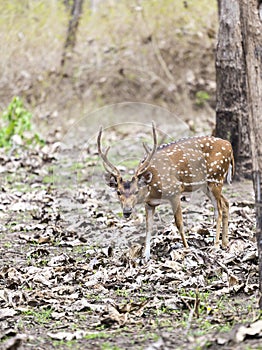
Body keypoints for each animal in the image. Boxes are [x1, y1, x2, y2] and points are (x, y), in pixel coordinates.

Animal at [97, 123, 234, 260]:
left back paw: (215, 246)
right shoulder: (149, 203)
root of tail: (229, 145)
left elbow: (179, 223)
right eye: (118, 192)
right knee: (226, 203)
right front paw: (146, 256)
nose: (126, 211)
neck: (153, 189)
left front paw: (186, 248)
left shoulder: (175, 191)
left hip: (216, 177)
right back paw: (225, 243)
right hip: (206, 185)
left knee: (218, 210)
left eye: (136, 191)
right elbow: (148, 227)